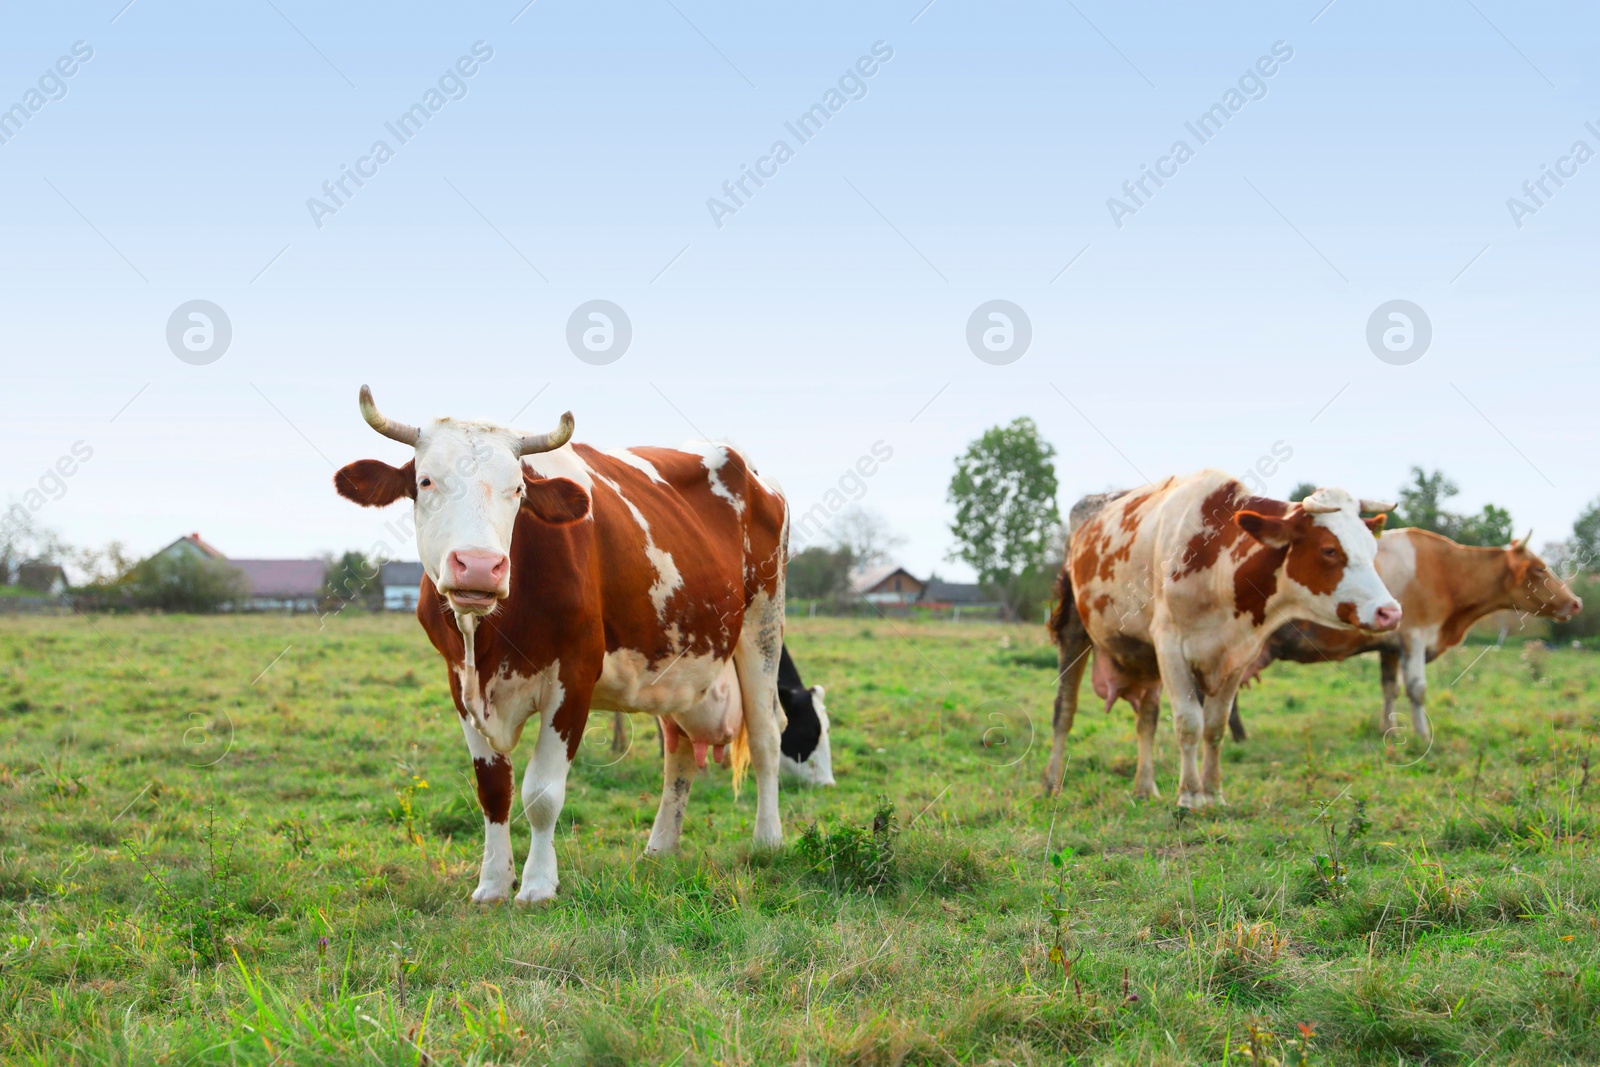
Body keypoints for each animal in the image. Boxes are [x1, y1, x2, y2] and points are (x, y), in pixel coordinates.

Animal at [336, 388, 787, 908]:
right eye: (425, 480)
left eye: (517, 489)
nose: (479, 566)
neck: (488, 640)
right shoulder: (457, 679)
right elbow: (493, 789)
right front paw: (492, 883)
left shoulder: (574, 676)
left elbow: (541, 793)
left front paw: (537, 884)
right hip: (676, 666)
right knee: (677, 751)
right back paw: (660, 848)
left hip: (763, 623)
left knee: (766, 736)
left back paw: (767, 840)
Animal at [1036, 470, 1401, 806]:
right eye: (1329, 550)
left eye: (1372, 548)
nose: (1390, 612)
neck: (1217, 562)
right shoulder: (1170, 646)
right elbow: (1189, 723)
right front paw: (1189, 795)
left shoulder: (1238, 655)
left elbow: (1214, 726)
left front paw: (1212, 793)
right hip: (1074, 628)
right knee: (1064, 708)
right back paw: (1051, 782)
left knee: (1147, 717)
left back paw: (1144, 786)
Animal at [1222, 527, 1587, 742]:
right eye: (1539, 568)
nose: (1576, 602)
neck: (1445, 571)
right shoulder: (1415, 636)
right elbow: (1416, 689)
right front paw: (1422, 735)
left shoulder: (1390, 646)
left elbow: (1389, 688)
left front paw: (1390, 729)